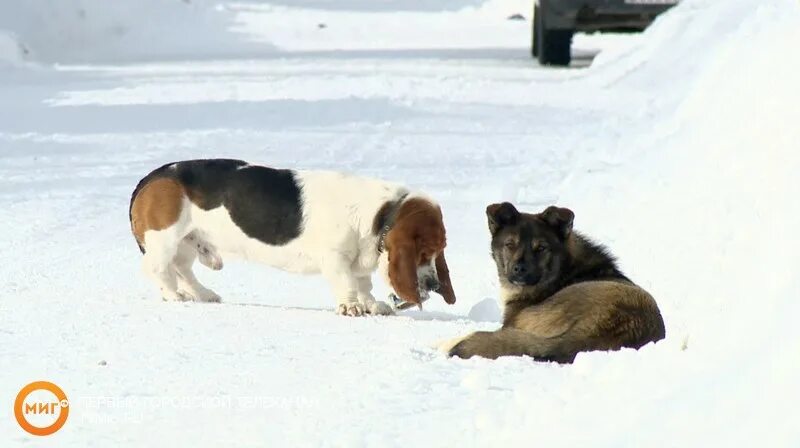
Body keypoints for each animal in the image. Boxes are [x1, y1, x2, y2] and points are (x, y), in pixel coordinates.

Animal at [130, 158, 456, 316]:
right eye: (425, 250)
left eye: (439, 249)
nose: (433, 285)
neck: (383, 212)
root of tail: (154, 176)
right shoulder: (336, 258)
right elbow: (348, 283)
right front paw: (351, 307)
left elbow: (364, 284)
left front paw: (372, 304)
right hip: (167, 238)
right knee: (158, 269)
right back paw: (173, 295)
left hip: (188, 242)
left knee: (183, 270)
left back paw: (203, 294)